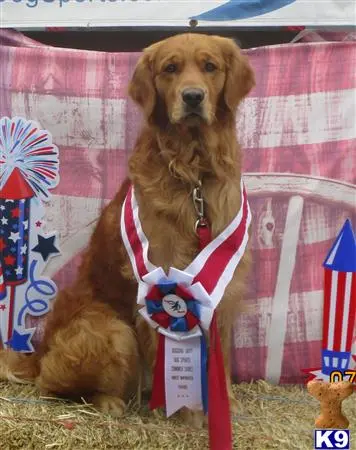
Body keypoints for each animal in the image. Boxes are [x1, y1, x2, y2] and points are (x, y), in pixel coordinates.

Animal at [0, 33, 256, 424]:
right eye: (171, 68)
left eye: (210, 66)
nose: (192, 97)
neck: (194, 175)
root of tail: (39, 352)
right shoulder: (162, 278)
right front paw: (185, 413)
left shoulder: (222, 285)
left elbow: (222, 355)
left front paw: (223, 404)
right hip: (111, 329)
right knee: (53, 385)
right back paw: (109, 401)